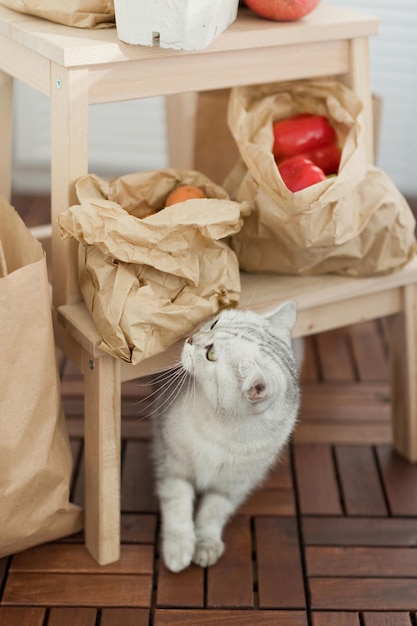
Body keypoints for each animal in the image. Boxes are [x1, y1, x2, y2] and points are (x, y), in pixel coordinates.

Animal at [151, 302, 300, 572]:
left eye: (211, 354)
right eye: (213, 324)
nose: (190, 338)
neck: (222, 429)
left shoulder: (232, 486)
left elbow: (213, 513)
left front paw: (206, 544)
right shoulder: (174, 465)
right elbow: (177, 508)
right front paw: (179, 548)